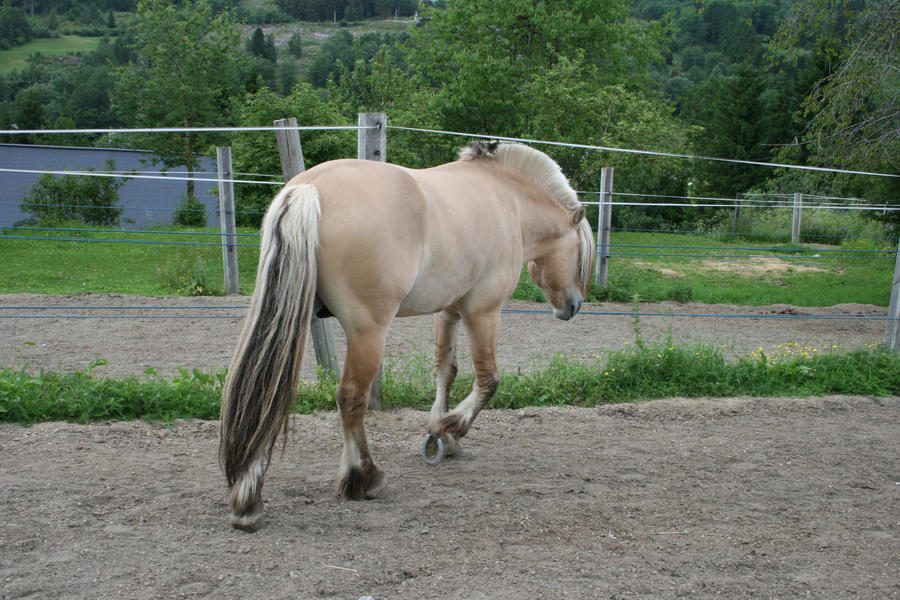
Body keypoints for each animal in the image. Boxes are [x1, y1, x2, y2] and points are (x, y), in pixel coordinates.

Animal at [219, 142, 596, 528]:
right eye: (580, 253)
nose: (574, 306)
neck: (507, 199)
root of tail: (311, 186)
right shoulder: (483, 312)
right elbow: (488, 380)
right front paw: (451, 427)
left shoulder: (448, 311)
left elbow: (446, 371)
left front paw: (439, 436)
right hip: (368, 331)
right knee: (350, 398)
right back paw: (365, 477)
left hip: (286, 314)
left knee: (262, 392)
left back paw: (247, 498)